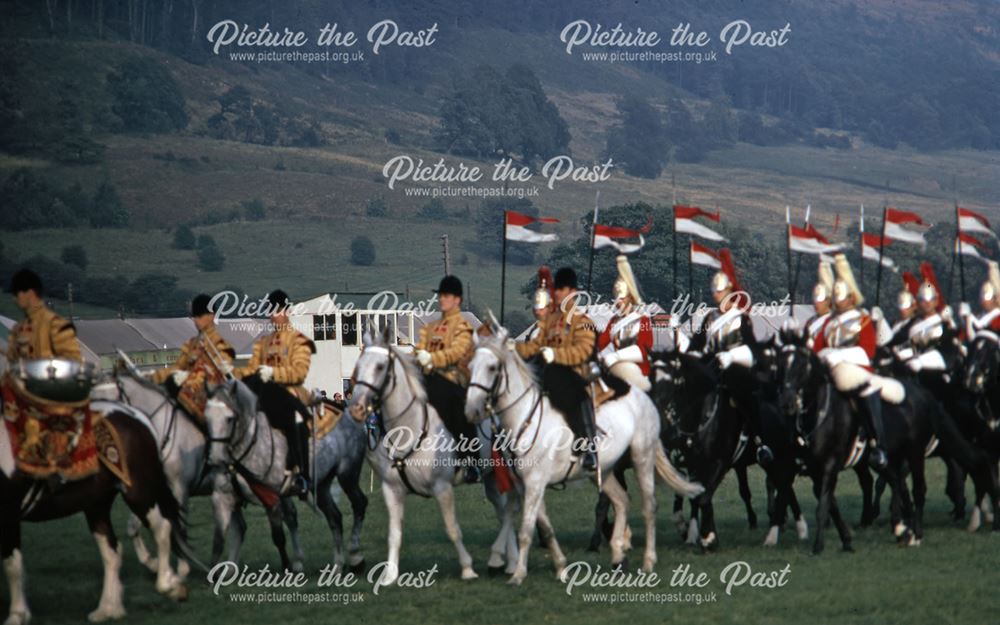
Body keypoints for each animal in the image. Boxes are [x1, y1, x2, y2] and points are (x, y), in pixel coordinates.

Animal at [346, 324, 516, 588]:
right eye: (359, 365)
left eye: (380, 366)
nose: (356, 408)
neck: (409, 426)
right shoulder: (391, 490)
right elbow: (394, 534)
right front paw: (389, 575)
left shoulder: (442, 487)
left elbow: (452, 528)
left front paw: (467, 568)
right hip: (491, 478)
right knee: (502, 510)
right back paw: (506, 562)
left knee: (511, 509)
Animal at [464, 324, 700, 584]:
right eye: (470, 367)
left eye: (492, 367)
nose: (472, 411)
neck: (525, 418)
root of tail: (643, 396)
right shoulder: (526, 486)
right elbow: (545, 528)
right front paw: (561, 567)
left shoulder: (535, 483)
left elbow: (526, 530)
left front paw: (518, 575)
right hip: (604, 471)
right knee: (621, 501)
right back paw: (618, 557)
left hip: (643, 458)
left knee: (649, 507)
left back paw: (648, 561)